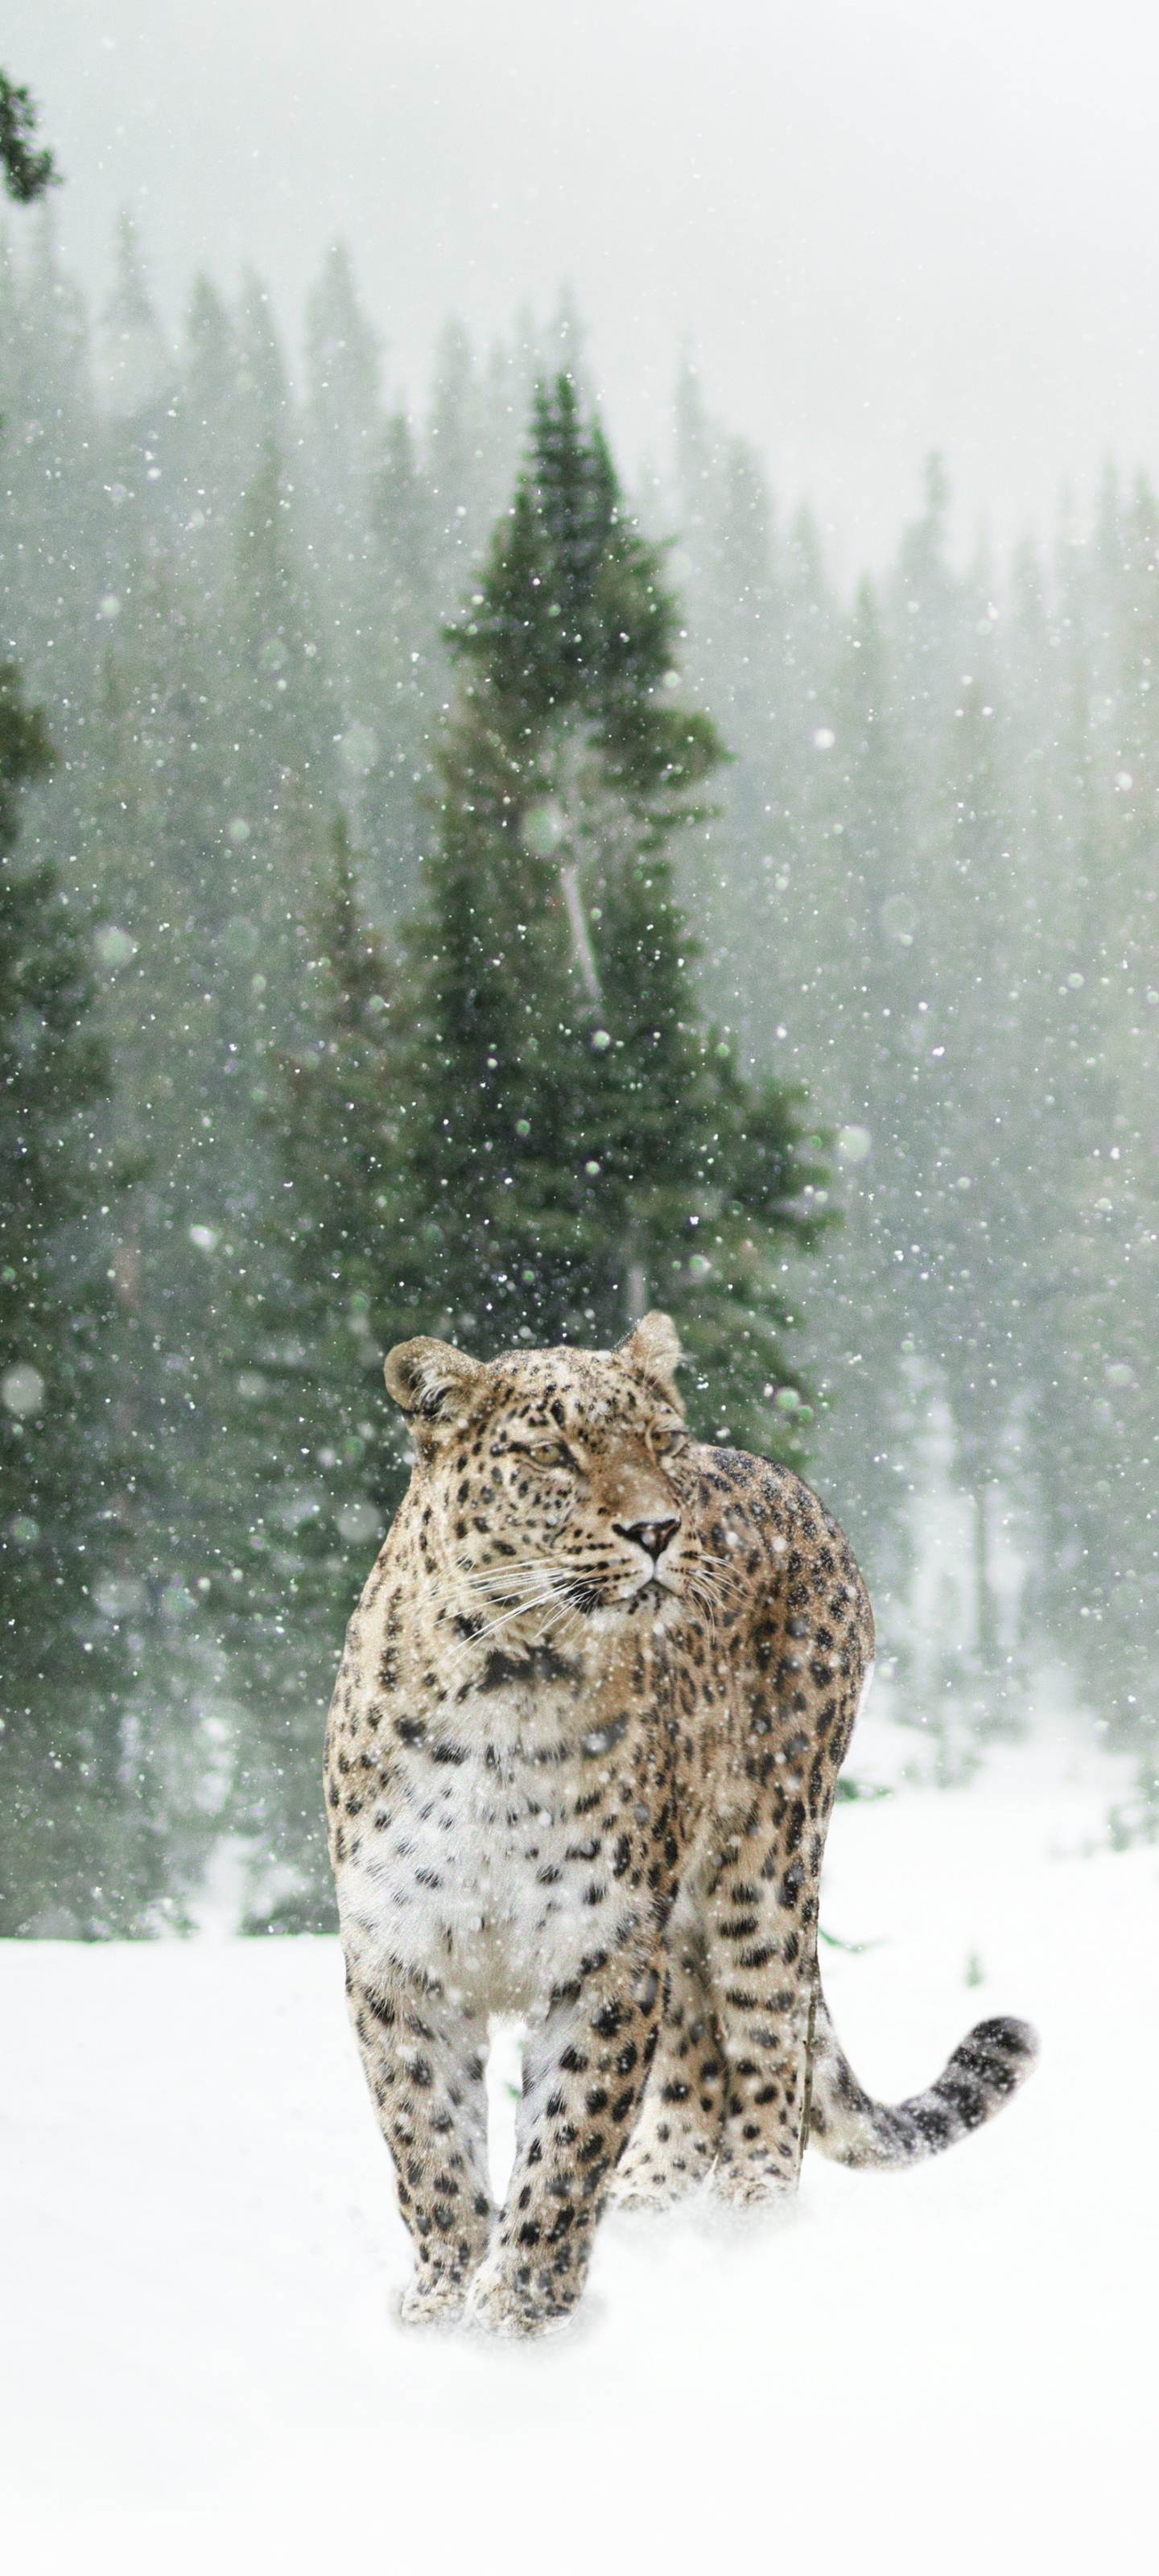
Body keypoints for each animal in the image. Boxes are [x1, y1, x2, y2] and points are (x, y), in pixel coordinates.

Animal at [325, 1308, 1040, 2339]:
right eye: (551, 1452)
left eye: (659, 1442)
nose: (658, 1528)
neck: (508, 1685)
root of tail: (788, 1479)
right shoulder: (401, 1955)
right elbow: (430, 2144)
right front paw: (441, 2303)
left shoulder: (605, 1952)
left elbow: (568, 2139)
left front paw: (519, 2313)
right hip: (689, 1915)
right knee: (700, 2055)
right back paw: (654, 2205)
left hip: (765, 1858)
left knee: (767, 2041)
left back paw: (746, 2221)